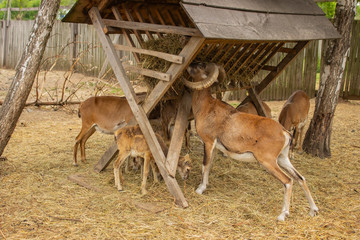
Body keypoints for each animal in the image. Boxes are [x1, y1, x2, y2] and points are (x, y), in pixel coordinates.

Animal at [183, 62, 318, 221]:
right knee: (300, 178)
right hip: (282, 159)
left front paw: (200, 189)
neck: (206, 107)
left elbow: (204, 165)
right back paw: (313, 210)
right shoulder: (214, 148)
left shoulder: (208, 143)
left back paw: (282, 215)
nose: (188, 66)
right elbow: (209, 166)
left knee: (288, 181)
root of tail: (284, 132)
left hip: (268, 162)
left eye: (200, 66)